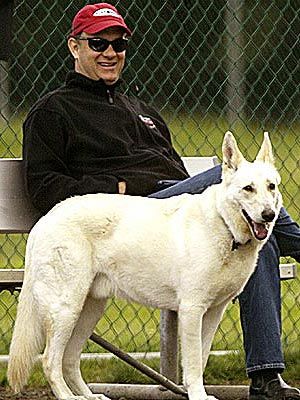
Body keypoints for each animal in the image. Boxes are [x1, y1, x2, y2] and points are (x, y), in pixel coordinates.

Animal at [7, 132, 284, 400]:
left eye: (271, 187)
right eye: (248, 188)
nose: (269, 215)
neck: (225, 227)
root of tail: (46, 218)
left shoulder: (214, 312)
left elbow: (202, 358)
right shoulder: (192, 310)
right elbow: (194, 363)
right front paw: (196, 395)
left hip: (88, 310)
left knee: (69, 360)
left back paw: (90, 396)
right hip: (66, 309)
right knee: (50, 361)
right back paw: (69, 397)